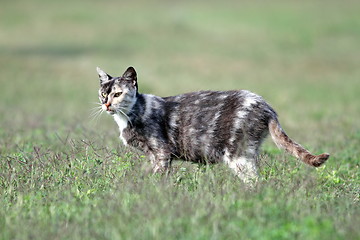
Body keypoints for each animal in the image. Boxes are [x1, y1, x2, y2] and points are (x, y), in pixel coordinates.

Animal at [95, 65, 330, 182]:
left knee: (256, 183)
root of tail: (267, 106)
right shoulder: (154, 155)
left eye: (117, 94)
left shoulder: (162, 153)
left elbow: (158, 177)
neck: (130, 114)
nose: (106, 104)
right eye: (103, 93)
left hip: (238, 156)